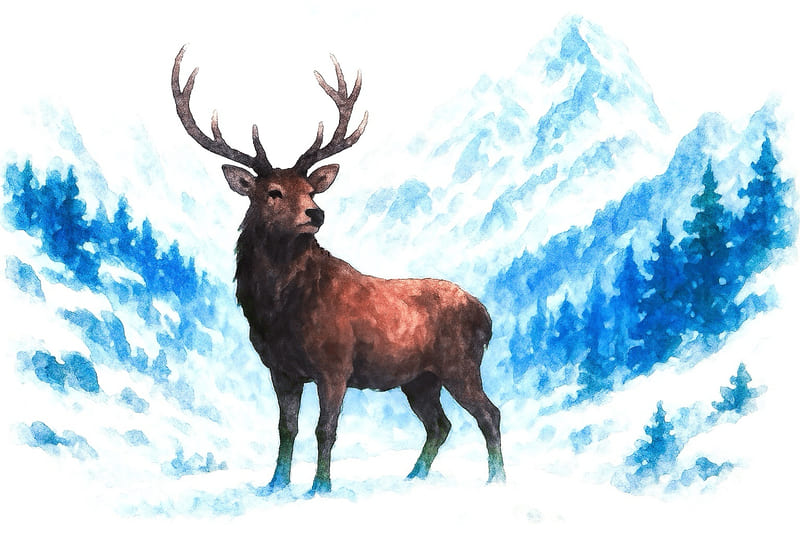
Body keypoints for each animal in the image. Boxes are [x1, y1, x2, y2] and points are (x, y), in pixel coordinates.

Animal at [171, 46, 505, 495]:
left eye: (311, 189)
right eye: (273, 192)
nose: (316, 213)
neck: (277, 313)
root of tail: (486, 315)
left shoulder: (335, 365)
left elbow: (324, 430)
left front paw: (319, 488)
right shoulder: (281, 370)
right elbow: (286, 428)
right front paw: (276, 485)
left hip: (459, 363)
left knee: (489, 414)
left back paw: (496, 480)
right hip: (419, 379)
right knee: (440, 424)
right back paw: (414, 476)